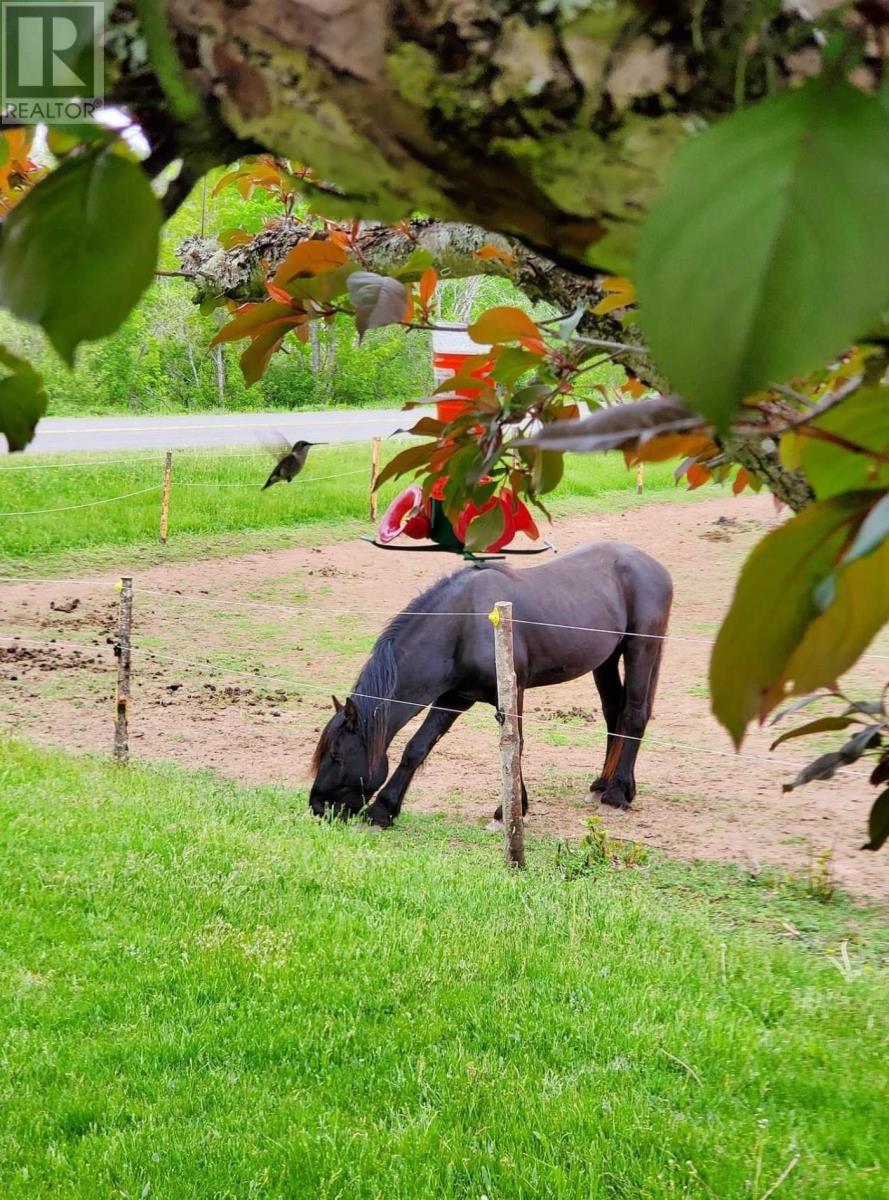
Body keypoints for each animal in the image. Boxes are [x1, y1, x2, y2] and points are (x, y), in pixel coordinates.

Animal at [309, 542, 667, 825]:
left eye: (337, 754)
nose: (317, 807)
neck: (463, 623)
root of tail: (653, 566)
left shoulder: (511, 693)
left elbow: (515, 745)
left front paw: (511, 810)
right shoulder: (454, 698)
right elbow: (417, 748)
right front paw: (384, 809)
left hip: (641, 649)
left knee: (634, 714)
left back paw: (617, 793)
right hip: (605, 661)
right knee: (614, 713)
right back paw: (603, 783)